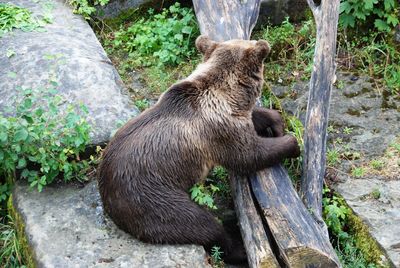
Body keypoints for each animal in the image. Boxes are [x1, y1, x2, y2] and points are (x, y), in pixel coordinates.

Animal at [97, 35, 300, 264]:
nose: (262, 42)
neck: (227, 95)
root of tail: (106, 192)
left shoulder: (234, 118)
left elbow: (255, 118)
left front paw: (276, 122)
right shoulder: (219, 133)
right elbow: (249, 155)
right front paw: (292, 144)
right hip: (151, 197)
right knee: (200, 224)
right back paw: (238, 249)